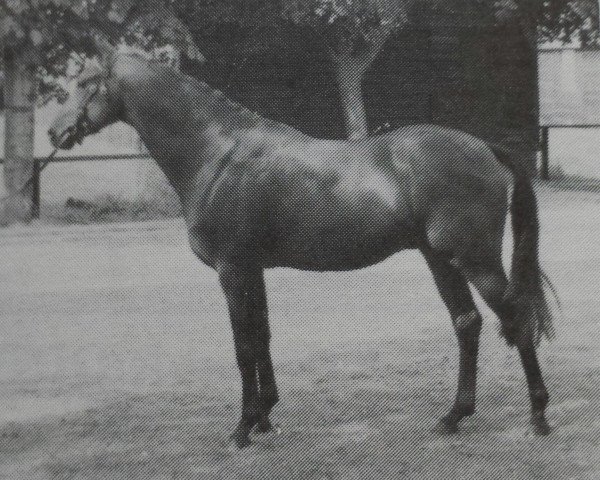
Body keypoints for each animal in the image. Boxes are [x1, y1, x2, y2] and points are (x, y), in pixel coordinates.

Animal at [49, 54, 556, 448]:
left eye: (85, 82)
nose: (56, 132)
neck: (218, 155)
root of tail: (484, 147)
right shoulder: (252, 270)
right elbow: (261, 337)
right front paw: (265, 418)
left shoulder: (232, 269)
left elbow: (243, 346)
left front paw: (241, 429)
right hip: (441, 259)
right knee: (467, 323)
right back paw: (453, 417)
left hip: (475, 261)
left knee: (515, 318)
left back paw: (538, 417)